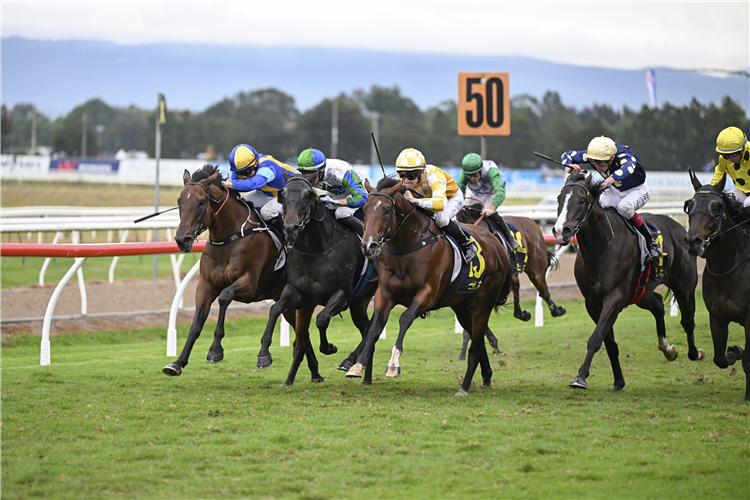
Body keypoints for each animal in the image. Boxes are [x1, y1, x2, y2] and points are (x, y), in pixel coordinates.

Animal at [164, 166, 296, 376]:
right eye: (179, 201)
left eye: (201, 202)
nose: (182, 239)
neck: (229, 239)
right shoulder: (206, 285)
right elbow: (196, 324)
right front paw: (177, 362)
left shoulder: (250, 285)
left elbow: (225, 296)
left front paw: (215, 350)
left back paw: (264, 354)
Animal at [258, 170, 376, 384]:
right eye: (282, 194)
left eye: (308, 195)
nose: (290, 228)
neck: (317, 248)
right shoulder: (298, 293)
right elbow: (275, 309)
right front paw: (263, 355)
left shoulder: (343, 294)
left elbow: (321, 319)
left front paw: (329, 347)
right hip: (359, 303)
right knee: (367, 329)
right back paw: (364, 376)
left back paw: (350, 361)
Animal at [348, 178, 516, 396]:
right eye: (365, 209)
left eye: (386, 210)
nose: (368, 246)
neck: (408, 246)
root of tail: (497, 243)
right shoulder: (385, 294)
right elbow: (374, 328)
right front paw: (357, 366)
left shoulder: (428, 294)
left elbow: (404, 318)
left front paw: (393, 365)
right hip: (461, 305)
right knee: (476, 339)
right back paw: (486, 375)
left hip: (484, 301)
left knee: (477, 340)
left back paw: (464, 387)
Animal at [552, 174, 704, 392]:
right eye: (559, 199)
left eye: (581, 200)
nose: (560, 230)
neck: (601, 247)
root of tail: (679, 227)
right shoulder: (593, 303)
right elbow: (608, 342)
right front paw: (618, 381)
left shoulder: (614, 298)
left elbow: (596, 338)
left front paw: (580, 377)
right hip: (641, 292)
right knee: (658, 304)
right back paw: (667, 349)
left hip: (685, 288)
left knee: (688, 321)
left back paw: (695, 353)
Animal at [688, 170, 750, 400]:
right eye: (689, 205)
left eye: (717, 208)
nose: (693, 241)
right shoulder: (716, 316)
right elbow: (720, 358)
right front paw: (735, 350)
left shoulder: (749, 319)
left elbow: (748, 361)